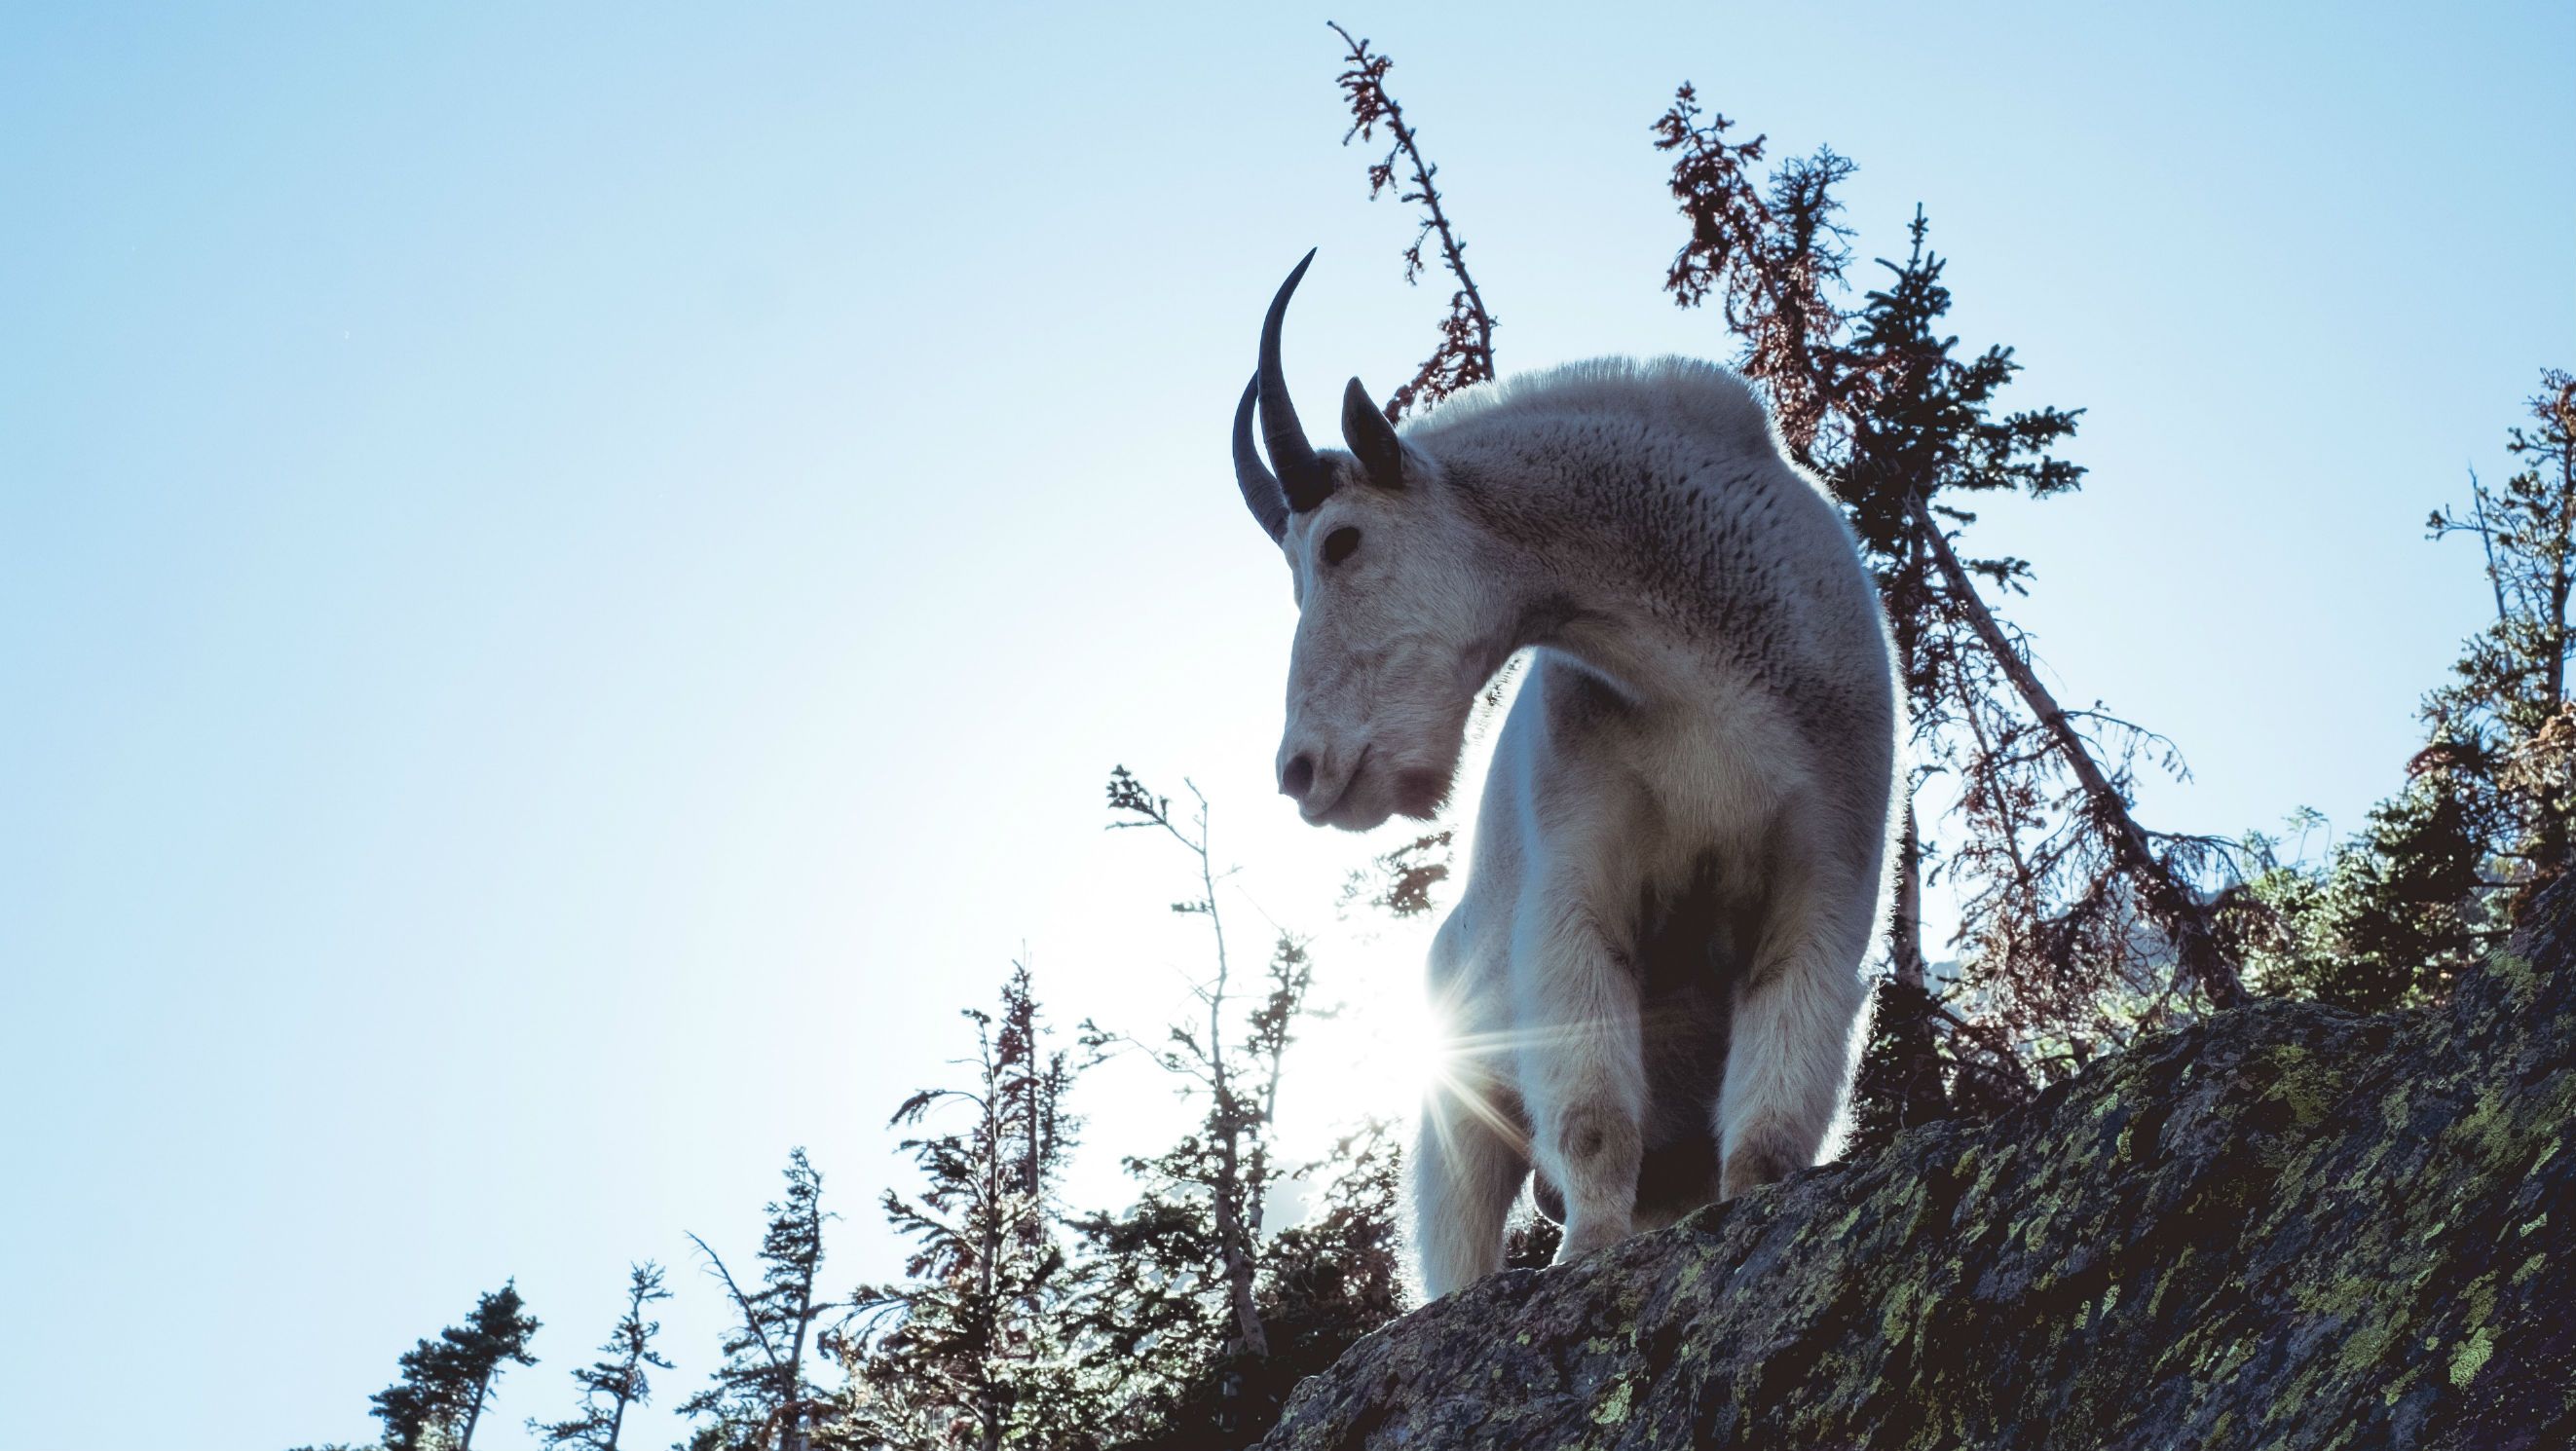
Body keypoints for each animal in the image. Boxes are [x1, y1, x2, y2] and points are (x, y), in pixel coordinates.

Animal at [1229, 253, 1901, 1297]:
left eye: (1340, 541)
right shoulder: (1577, 886)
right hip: (1455, 1112)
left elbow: (1769, 1131)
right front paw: (1586, 1256)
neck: (1697, 672)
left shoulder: (1821, 877)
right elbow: (1591, 1114)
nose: (1304, 771)